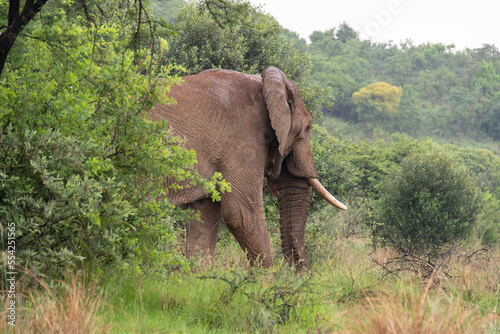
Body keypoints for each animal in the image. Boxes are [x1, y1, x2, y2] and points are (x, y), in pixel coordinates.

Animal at [148, 67, 346, 268]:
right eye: (307, 128)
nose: (301, 273)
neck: (265, 84)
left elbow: (203, 217)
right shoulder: (242, 142)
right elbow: (242, 215)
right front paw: (268, 278)